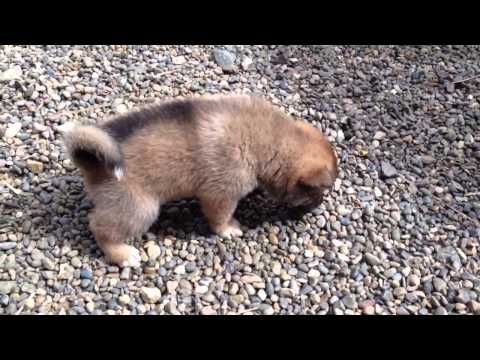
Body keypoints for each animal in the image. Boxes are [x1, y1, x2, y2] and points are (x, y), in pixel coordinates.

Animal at [62, 94, 338, 266]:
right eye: (319, 190)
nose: (319, 206)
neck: (268, 140)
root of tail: (92, 163)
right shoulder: (220, 194)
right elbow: (220, 217)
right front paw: (228, 229)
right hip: (138, 208)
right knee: (100, 227)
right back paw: (122, 254)